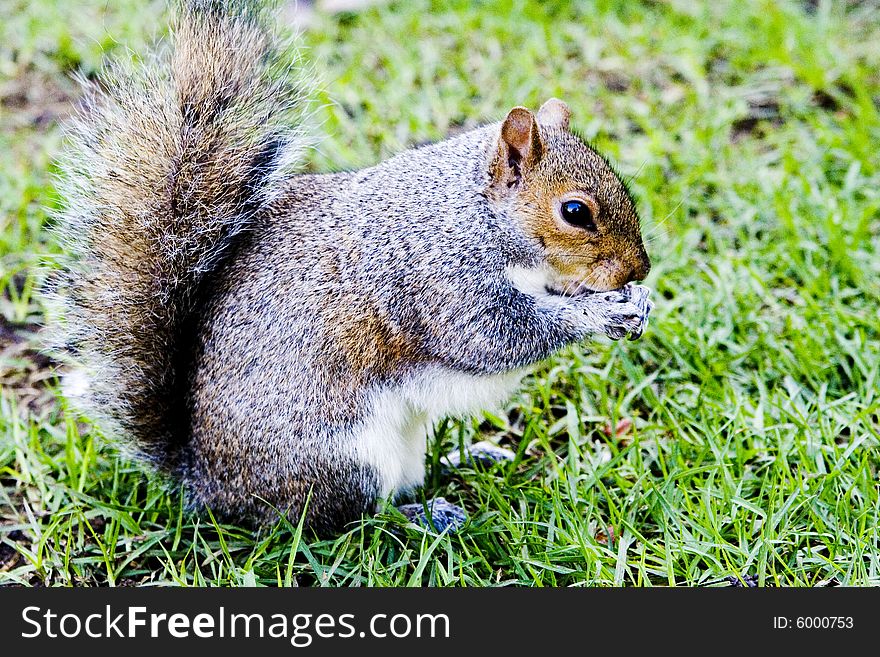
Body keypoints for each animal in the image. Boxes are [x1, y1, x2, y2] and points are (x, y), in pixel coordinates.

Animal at [48, 0, 652, 532]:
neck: (472, 214)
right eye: (574, 212)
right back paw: (426, 514)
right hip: (342, 458)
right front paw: (596, 315)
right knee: (353, 519)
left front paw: (634, 304)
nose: (638, 271)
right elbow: (495, 339)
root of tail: (207, 482)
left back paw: (467, 459)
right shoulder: (438, 282)